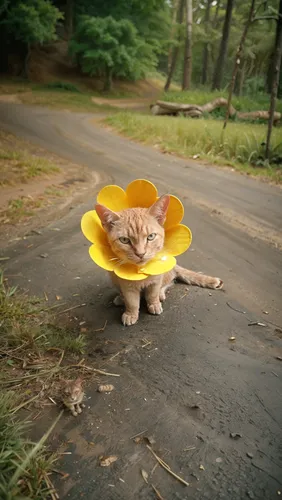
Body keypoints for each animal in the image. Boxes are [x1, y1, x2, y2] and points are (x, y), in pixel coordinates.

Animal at [96, 193, 224, 326]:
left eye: (151, 237)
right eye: (124, 240)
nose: (140, 253)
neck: (141, 271)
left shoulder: (156, 279)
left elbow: (153, 294)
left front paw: (154, 304)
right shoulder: (127, 285)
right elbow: (132, 302)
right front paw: (131, 314)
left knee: (169, 281)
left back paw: (161, 295)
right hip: (114, 278)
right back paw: (120, 298)